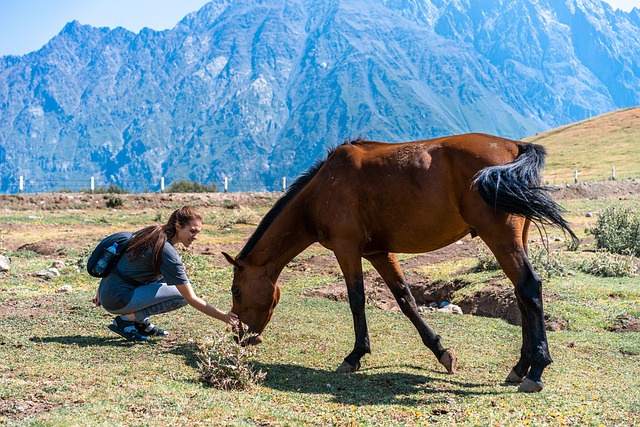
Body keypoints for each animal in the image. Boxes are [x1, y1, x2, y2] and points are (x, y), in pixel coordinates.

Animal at [222, 134, 576, 394]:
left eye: (236, 291)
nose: (240, 337)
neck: (320, 189)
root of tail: (515, 146)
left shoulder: (346, 249)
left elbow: (356, 300)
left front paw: (354, 356)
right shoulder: (379, 253)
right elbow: (405, 299)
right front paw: (441, 352)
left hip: (500, 237)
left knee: (529, 287)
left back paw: (536, 370)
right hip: (516, 239)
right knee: (521, 293)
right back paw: (520, 367)